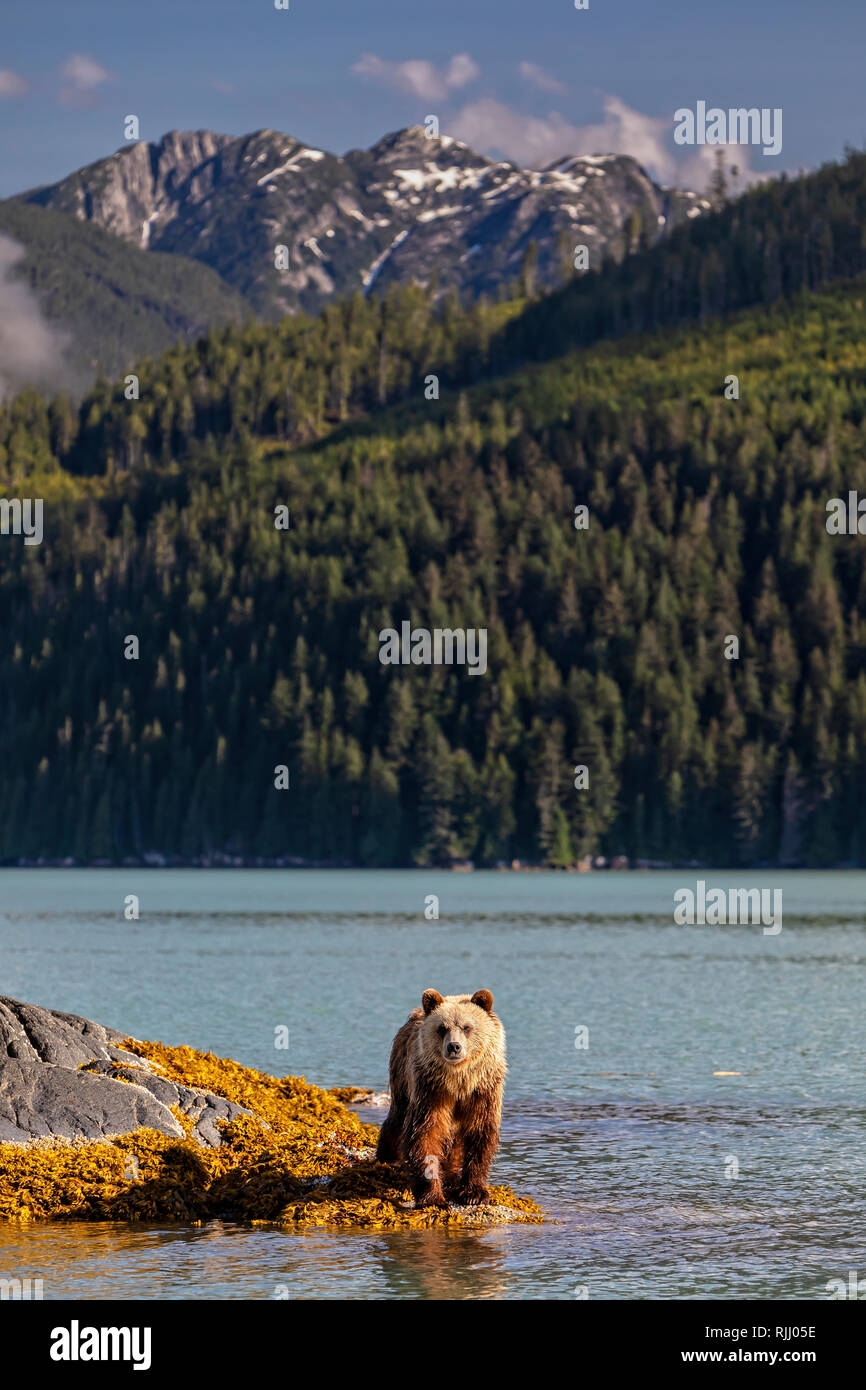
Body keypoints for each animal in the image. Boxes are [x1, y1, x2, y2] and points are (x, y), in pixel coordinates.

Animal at [375, 989, 508, 1206]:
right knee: (397, 1117)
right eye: (442, 1028)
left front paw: (475, 1193)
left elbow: (481, 1133)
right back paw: (388, 1159)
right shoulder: (430, 1092)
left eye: (467, 1027)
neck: (458, 1082)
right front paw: (433, 1196)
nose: (454, 1047)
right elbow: (425, 1134)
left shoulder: (482, 1091)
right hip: (402, 1075)